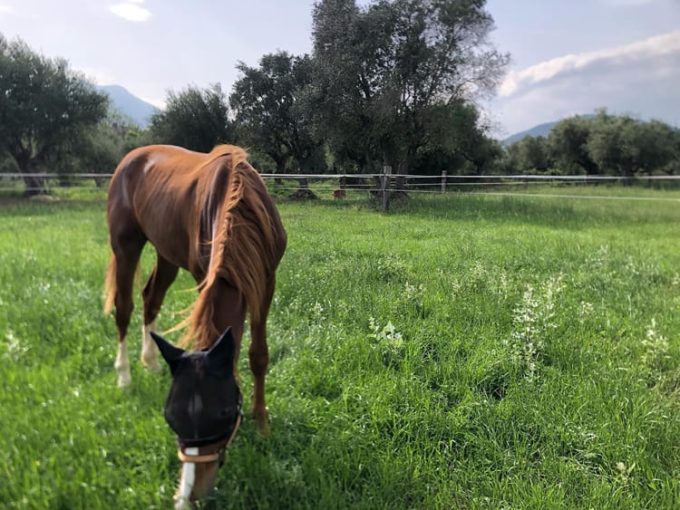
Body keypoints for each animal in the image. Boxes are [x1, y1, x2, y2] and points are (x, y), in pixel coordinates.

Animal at [103, 145, 286, 508]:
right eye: (170, 417)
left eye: (225, 412)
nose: (187, 496)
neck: (238, 203)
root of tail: (131, 159)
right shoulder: (206, 277)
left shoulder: (264, 281)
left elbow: (259, 355)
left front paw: (261, 423)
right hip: (125, 244)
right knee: (124, 309)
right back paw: (125, 376)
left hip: (165, 253)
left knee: (150, 298)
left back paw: (151, 361)